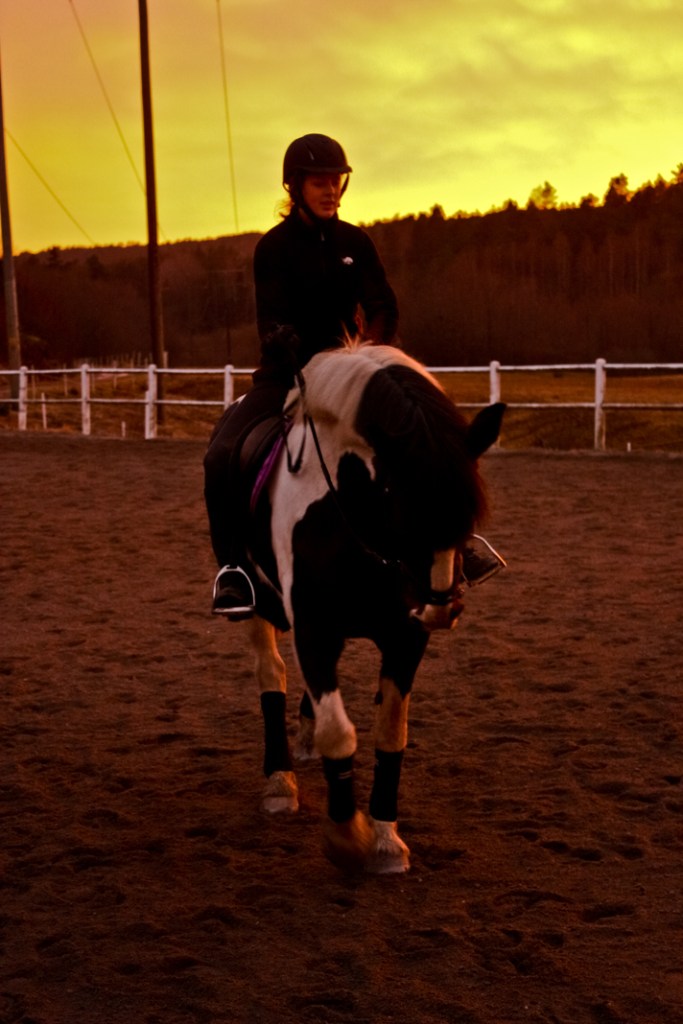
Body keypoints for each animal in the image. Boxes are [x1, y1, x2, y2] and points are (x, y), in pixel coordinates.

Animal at [239, 342, 505, 873]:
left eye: (467, 512)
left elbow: (390, 733)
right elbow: (339, 732)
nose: (440, 608)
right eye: (401, 501)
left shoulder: (405, 637)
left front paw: (386, 840)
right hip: (256, 601)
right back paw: (279, 781)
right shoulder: (315, 630)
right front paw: (347, 836)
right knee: (272, 673)